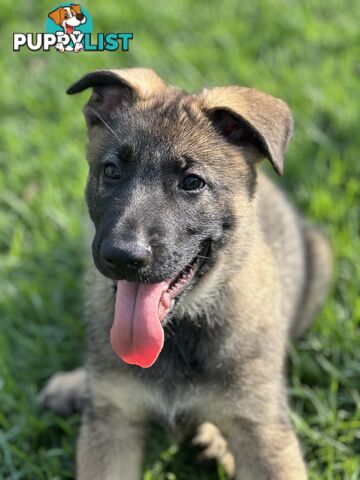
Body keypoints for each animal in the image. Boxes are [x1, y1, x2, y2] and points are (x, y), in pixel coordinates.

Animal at [40, 66, 332, 476]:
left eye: (192, 182)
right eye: (111, 171)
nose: (122, 256)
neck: (178, 331)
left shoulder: (264, 434)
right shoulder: (113, 426)